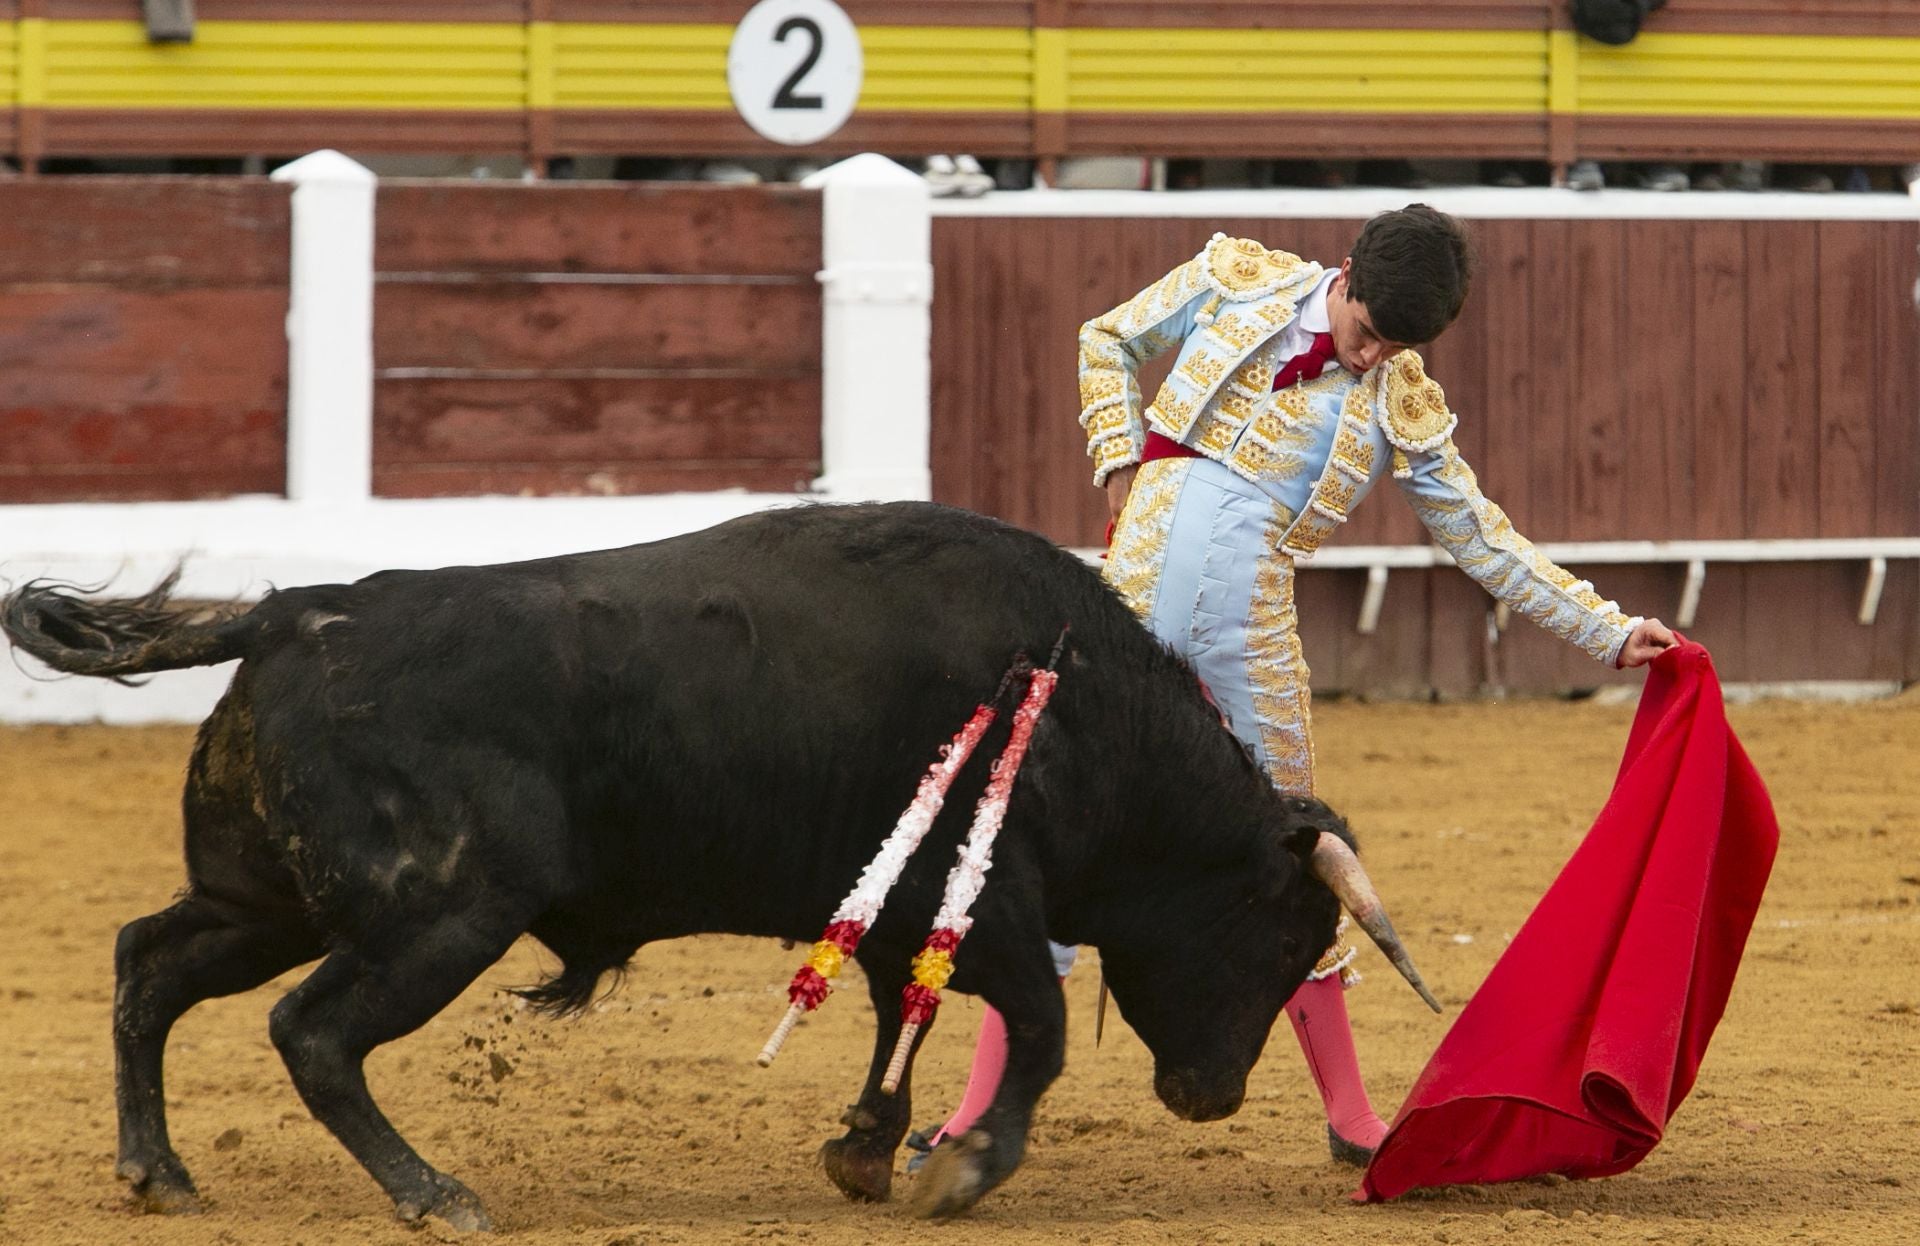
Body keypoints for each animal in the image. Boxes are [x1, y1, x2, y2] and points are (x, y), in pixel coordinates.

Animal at [0, 499, 1428, 1221]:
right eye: (1280, 934)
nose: (1211, 1096)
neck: (1080, 704)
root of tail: (297, 611)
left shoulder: (904, 914)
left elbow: (894, 1026)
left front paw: (867, 1151)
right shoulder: (986, 904)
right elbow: (1035, 1025)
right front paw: (962, 1168)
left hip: (270, 896)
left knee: (149, 962)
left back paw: (157, 1171)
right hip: (439, 910)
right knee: (311, 1032)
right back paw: (434, 1191)